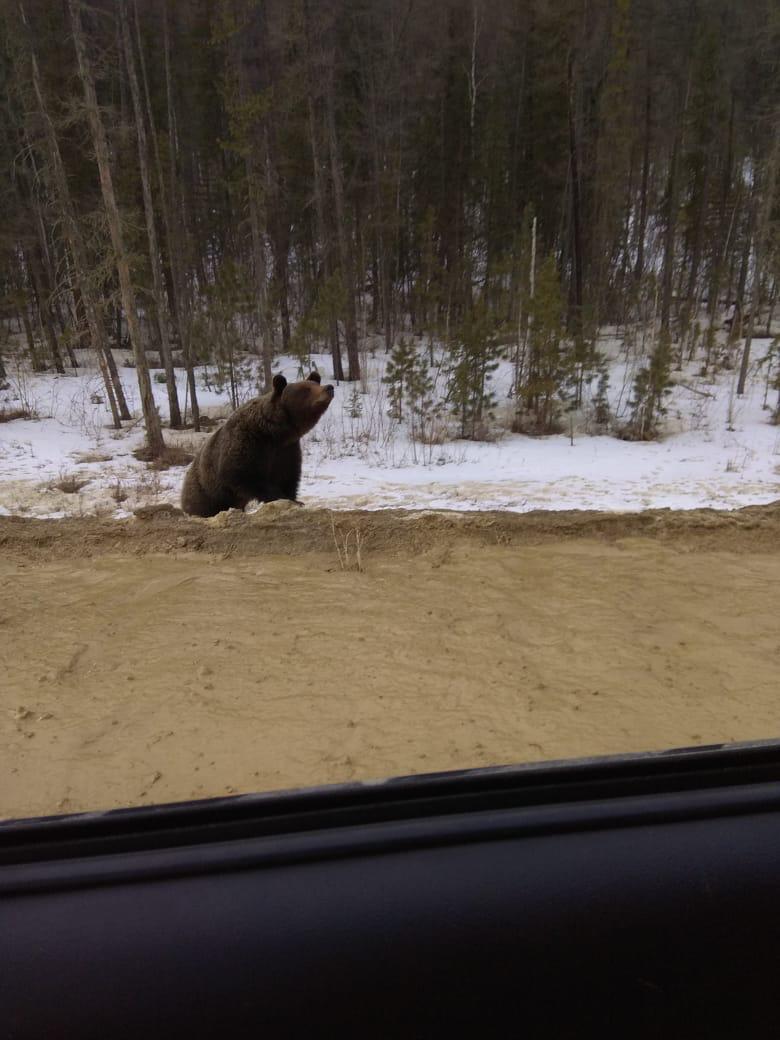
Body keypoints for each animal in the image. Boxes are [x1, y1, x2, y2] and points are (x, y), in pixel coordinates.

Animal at [183, 372, 336, 520]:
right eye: (306, 389)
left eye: (316, 383)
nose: (329, 388)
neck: (274, 432)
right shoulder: (247, 443)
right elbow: (241, 474)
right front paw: (282, 498)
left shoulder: (287, 450)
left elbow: (288, 477)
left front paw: (295, 500)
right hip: (204, 492)